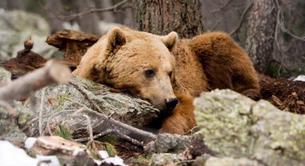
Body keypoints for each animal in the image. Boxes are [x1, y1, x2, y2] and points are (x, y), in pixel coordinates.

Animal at [72, 26, 258, 135]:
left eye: (169, 72)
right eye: (149, 71)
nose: (170, 101)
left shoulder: (179, 88)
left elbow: (187, 108)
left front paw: (169, 130)